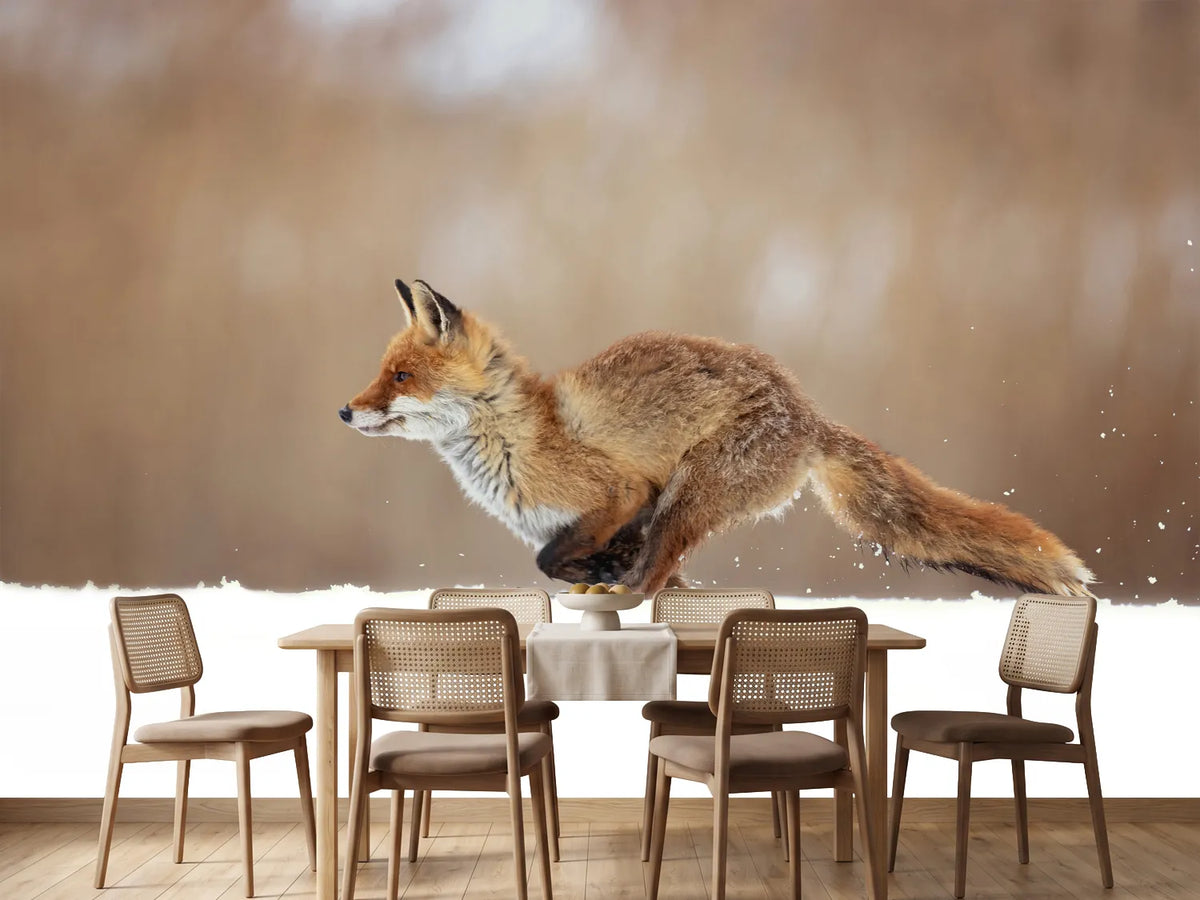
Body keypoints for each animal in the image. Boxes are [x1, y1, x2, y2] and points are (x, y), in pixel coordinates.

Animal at [338, 278, 1095, 598]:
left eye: (401, 376)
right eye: (381, 371)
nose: (345, 412)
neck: (516, 435)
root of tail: (808, 411)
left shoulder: (622, 491)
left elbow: (550, 560)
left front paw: (591, 575)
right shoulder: (608, 517)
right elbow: (567, 559)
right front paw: (595, 571)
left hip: (688, 494)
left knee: (653, 578)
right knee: (664, 573)